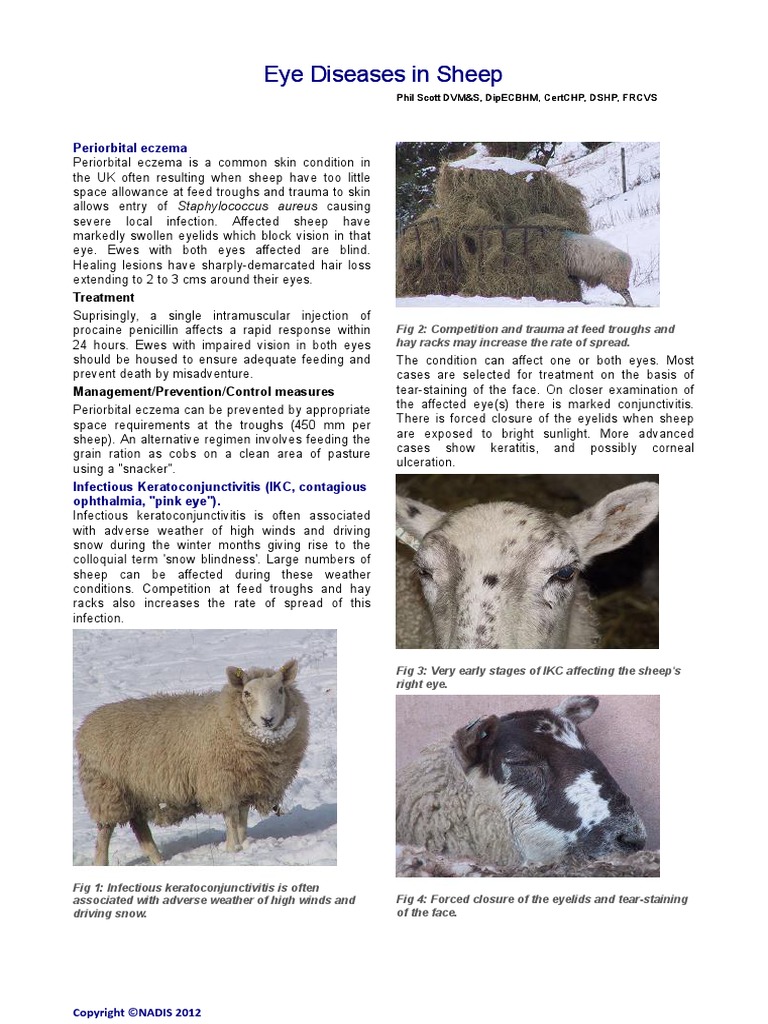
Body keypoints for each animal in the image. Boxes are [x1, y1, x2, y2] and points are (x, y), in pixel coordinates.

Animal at [76, 659, 308, 865]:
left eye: (280, 690)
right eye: (247, 693)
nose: (267, 719)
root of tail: (85, 724)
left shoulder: (245, 786)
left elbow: (242, 821)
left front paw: (244, 845)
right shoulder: (221, 784)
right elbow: (231, 819)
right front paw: (233, 849)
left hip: (136, 794)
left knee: (141, 830)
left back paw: (159, 861)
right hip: (106, 792)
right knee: (104, 833)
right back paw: (102, 862)